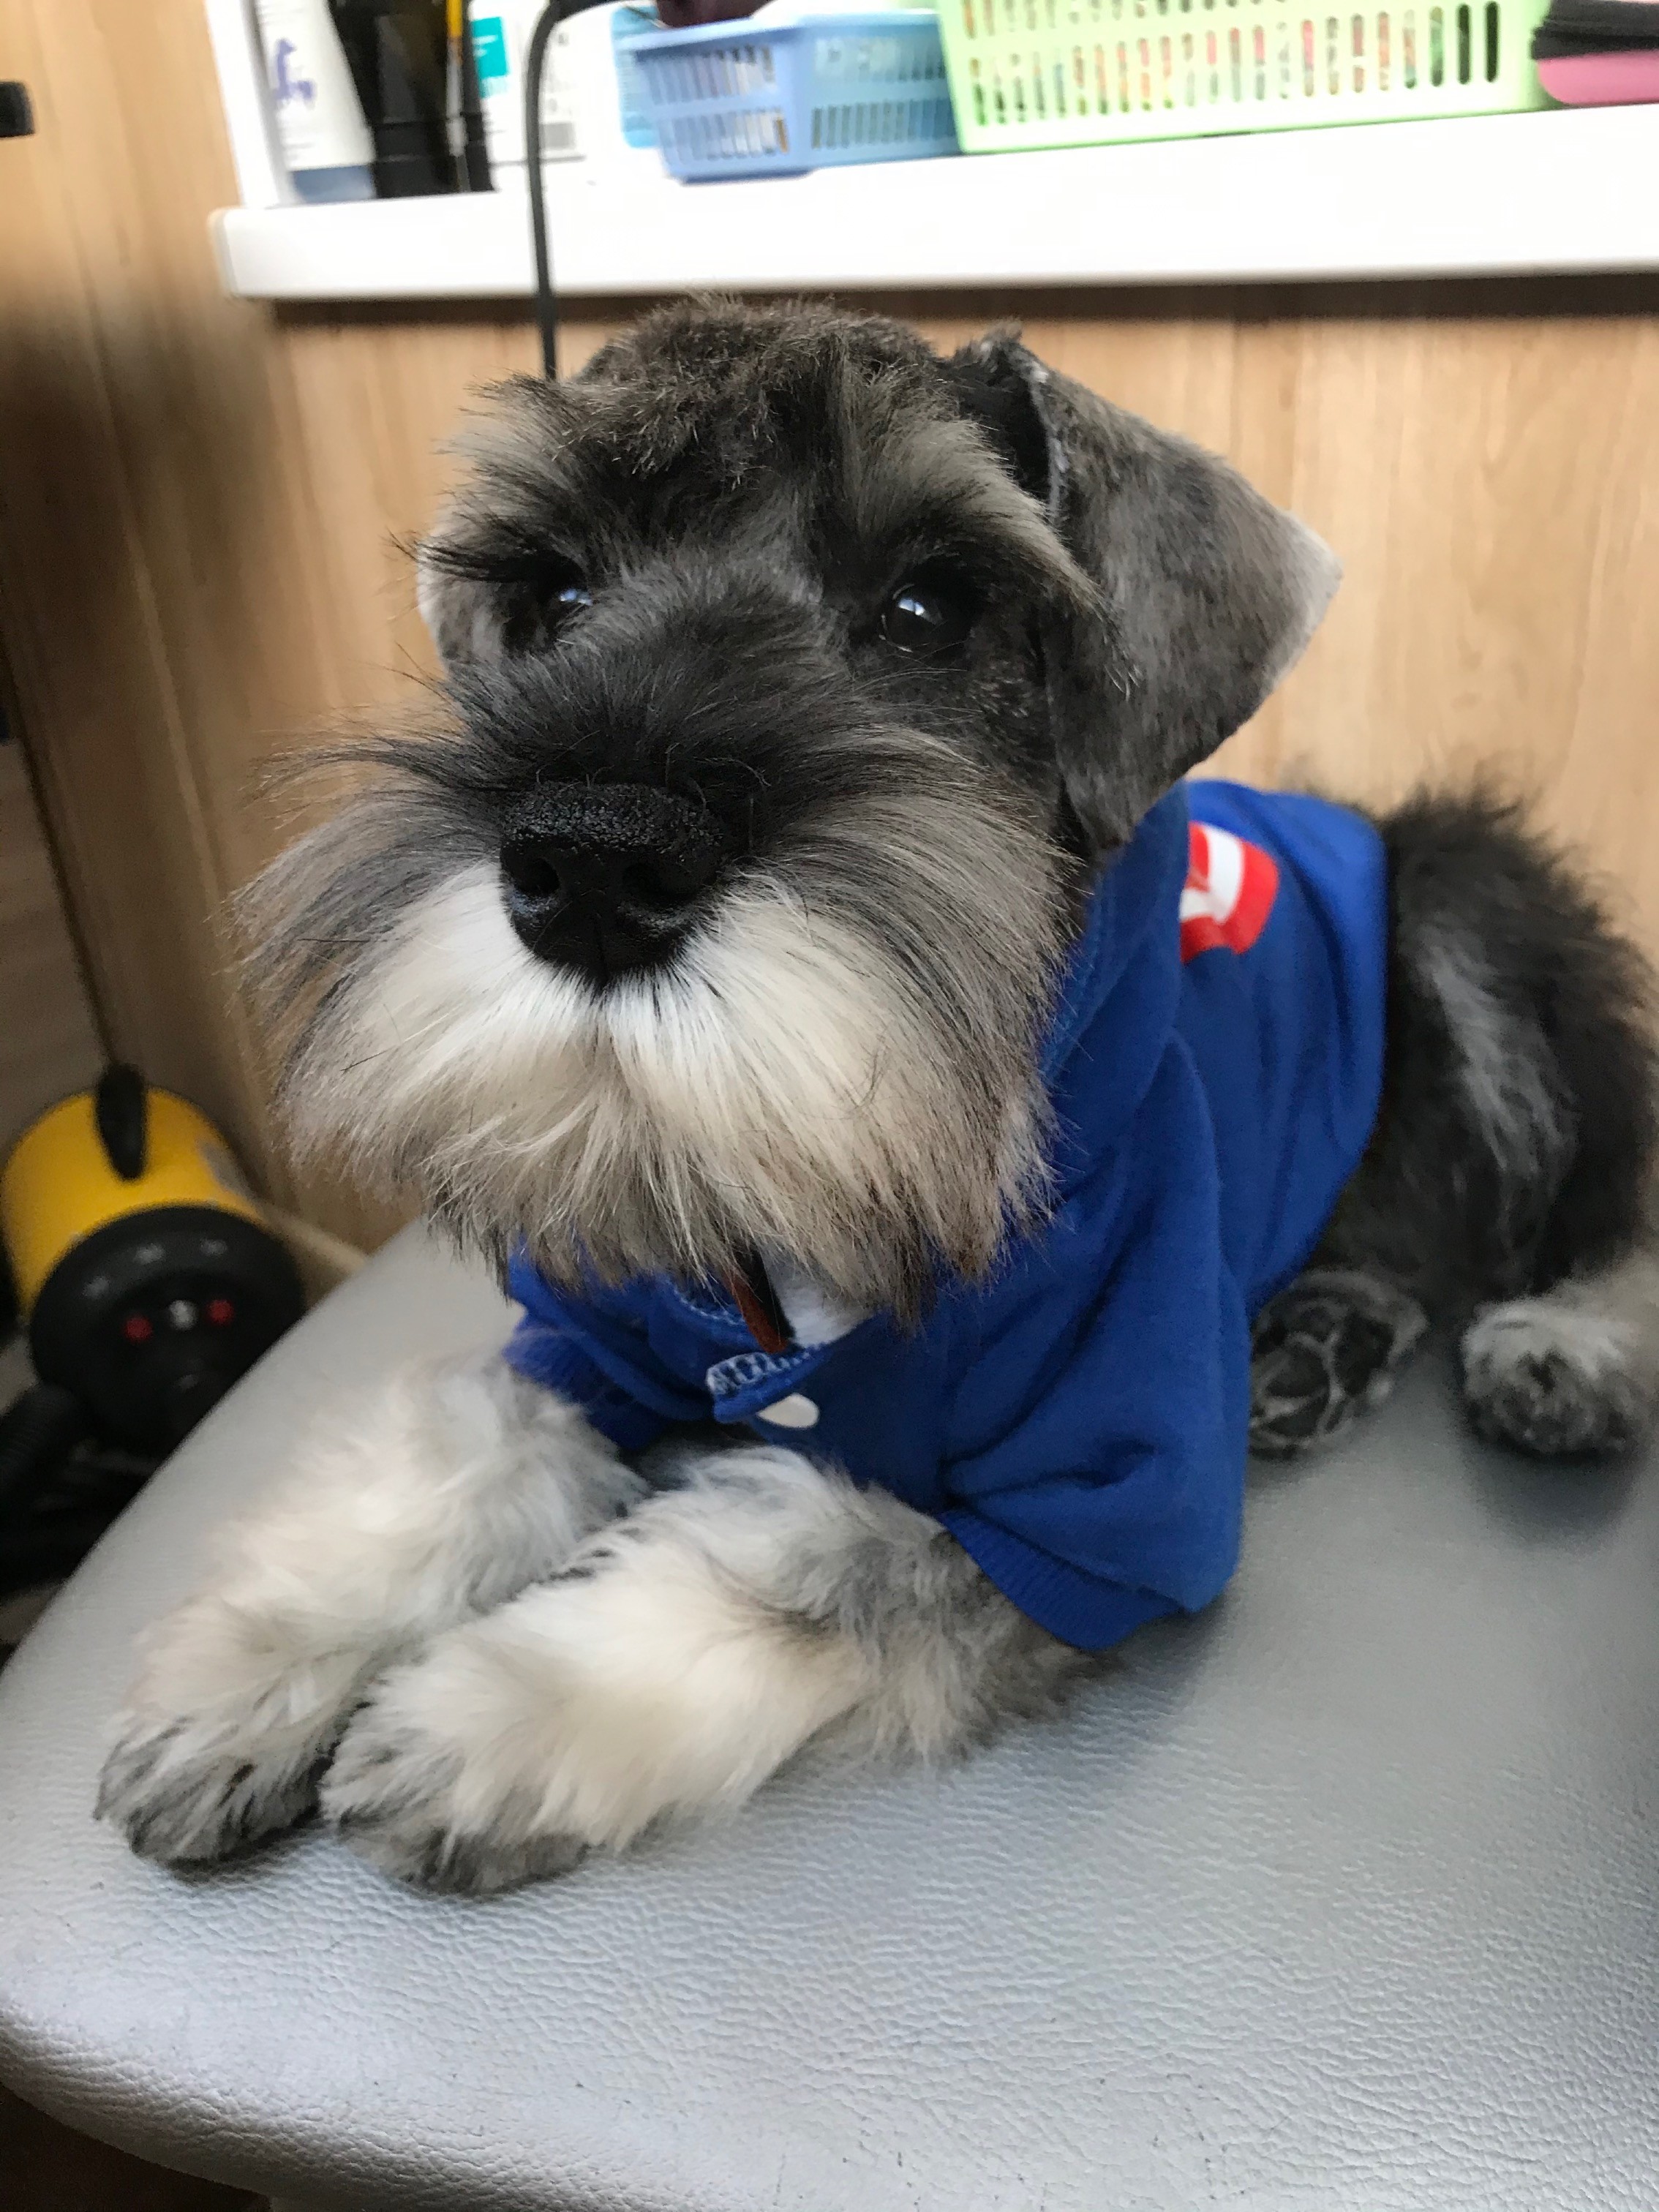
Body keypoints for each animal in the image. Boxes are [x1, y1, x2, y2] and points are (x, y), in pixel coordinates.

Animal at [98, 300, 1659, 1895]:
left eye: (926, 608)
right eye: (552, 591)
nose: (591, 860)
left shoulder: (1090, 1522)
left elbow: (798, 1556)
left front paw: (482, 1711)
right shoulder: (580, 1345)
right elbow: (460, 1456)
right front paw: (248, 1667)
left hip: (1475, 923)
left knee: (1600, 1204)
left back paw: (1561, 1351)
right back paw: (1315, 1348)